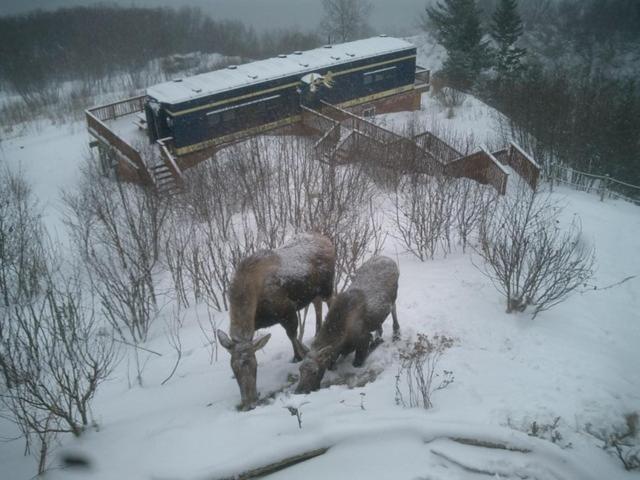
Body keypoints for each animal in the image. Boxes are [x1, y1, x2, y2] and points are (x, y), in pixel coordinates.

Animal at [218, 232, 336, 408]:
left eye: (254, 365)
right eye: (234, 369)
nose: (249, 403)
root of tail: (327, 240)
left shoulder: (287, 310)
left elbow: (293, 336)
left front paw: (298, 356)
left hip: (327, 287)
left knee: (330, 302)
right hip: (313, 292)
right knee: (317, 304)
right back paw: (317, 331)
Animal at [296, 255, 400, 394]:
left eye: (315, 372)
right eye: (300, 370)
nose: (299, 391)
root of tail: (389, 259)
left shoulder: (363, 339)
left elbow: (358, 361)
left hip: (393, 298)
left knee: (394, 311)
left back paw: (396, 335)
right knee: (380, 325)